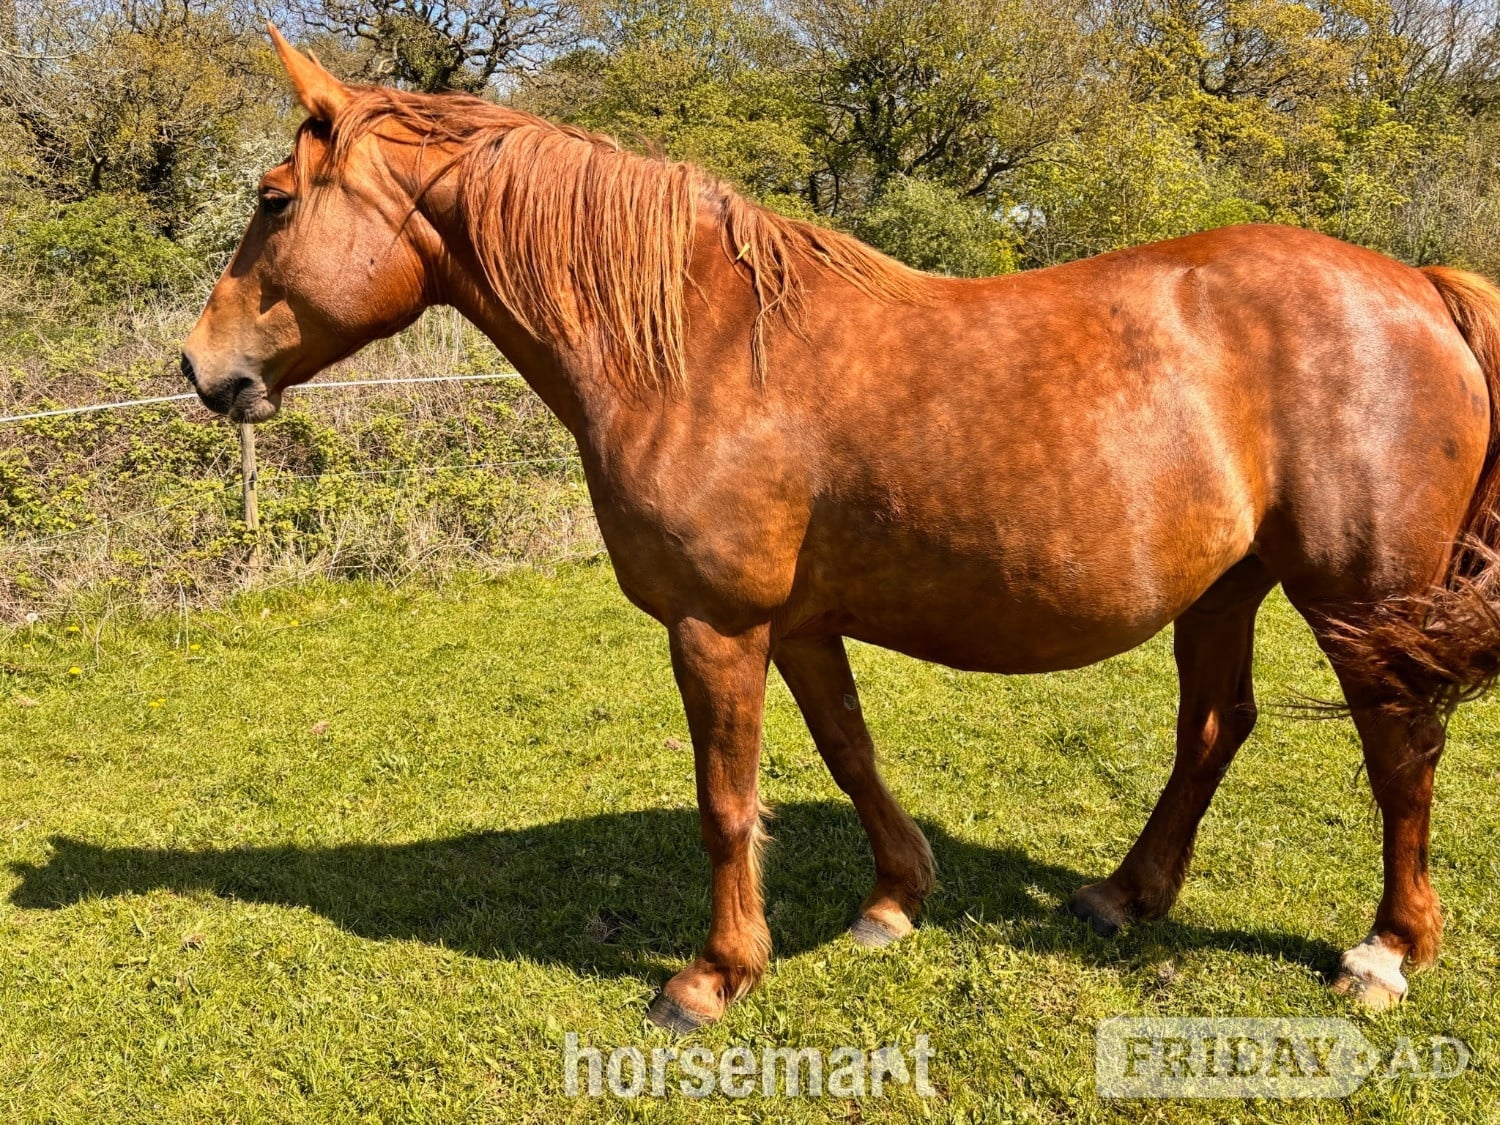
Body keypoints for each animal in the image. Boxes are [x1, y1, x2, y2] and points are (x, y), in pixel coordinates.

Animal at [181, 26, 1500, 1031]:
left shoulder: (716, 625)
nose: (201, 369)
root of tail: (1419, 285)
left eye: (273, 201)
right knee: (1216, 727)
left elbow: (726, 801)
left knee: (1400, 750)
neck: (700, 343)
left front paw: (713, 977)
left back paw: (1385, 951)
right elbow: (849, 754)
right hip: (1229, 587)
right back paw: (1125, 896)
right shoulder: (800, 624)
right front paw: (893, 902)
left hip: (1363, 599)